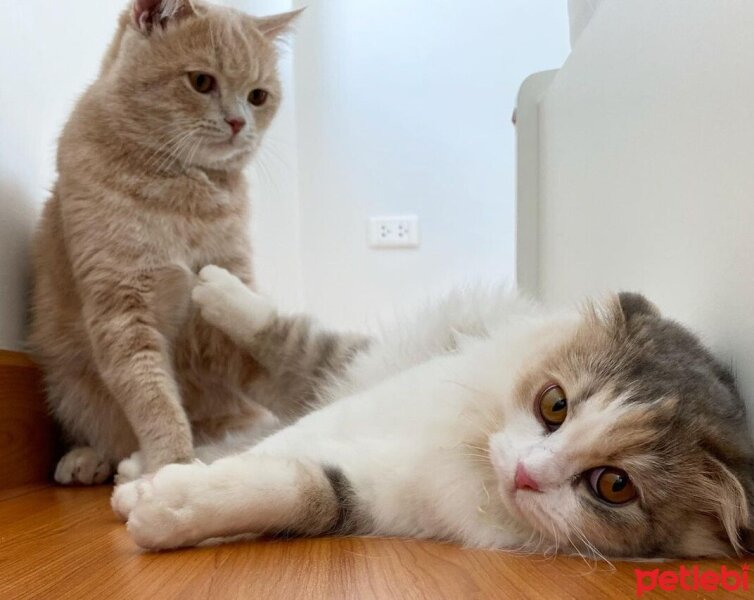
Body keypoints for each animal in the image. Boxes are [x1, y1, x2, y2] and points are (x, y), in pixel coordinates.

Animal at [29, 0, 300, 486]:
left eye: (258, 96)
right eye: (202, 82)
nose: (238, 122)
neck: (181, 194)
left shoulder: (227, 293)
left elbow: (259, 349)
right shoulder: (121, 308)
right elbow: (151, 395)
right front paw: (174, 463)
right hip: (67, 383)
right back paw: (88, 460)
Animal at [111, 268, 752, 556]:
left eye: (614, 486)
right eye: (554, 405)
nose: (526, 473)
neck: (467, 455)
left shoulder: (378, 499)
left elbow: (297, 489)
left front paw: (167, 506)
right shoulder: (360, 410)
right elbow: (276, 448)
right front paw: (153, 490)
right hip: (365, 366)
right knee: (296, 353)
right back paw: (214, 289)